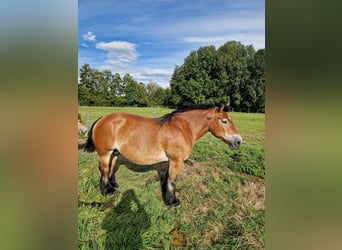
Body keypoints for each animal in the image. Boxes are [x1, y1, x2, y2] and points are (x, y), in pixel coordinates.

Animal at [84, 103, 242, 205]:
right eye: (224, 121)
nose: (238, 141)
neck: (183, 128)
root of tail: (102, 119)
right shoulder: (176, 160)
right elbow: (172, 180)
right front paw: (172, 201)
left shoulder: (170, 161)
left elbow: (167, 179)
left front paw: (167, 197)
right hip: (105, 153)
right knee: (104, 169)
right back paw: (107, 191)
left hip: (115, 152)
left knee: (111, 167)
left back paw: (114, 185)